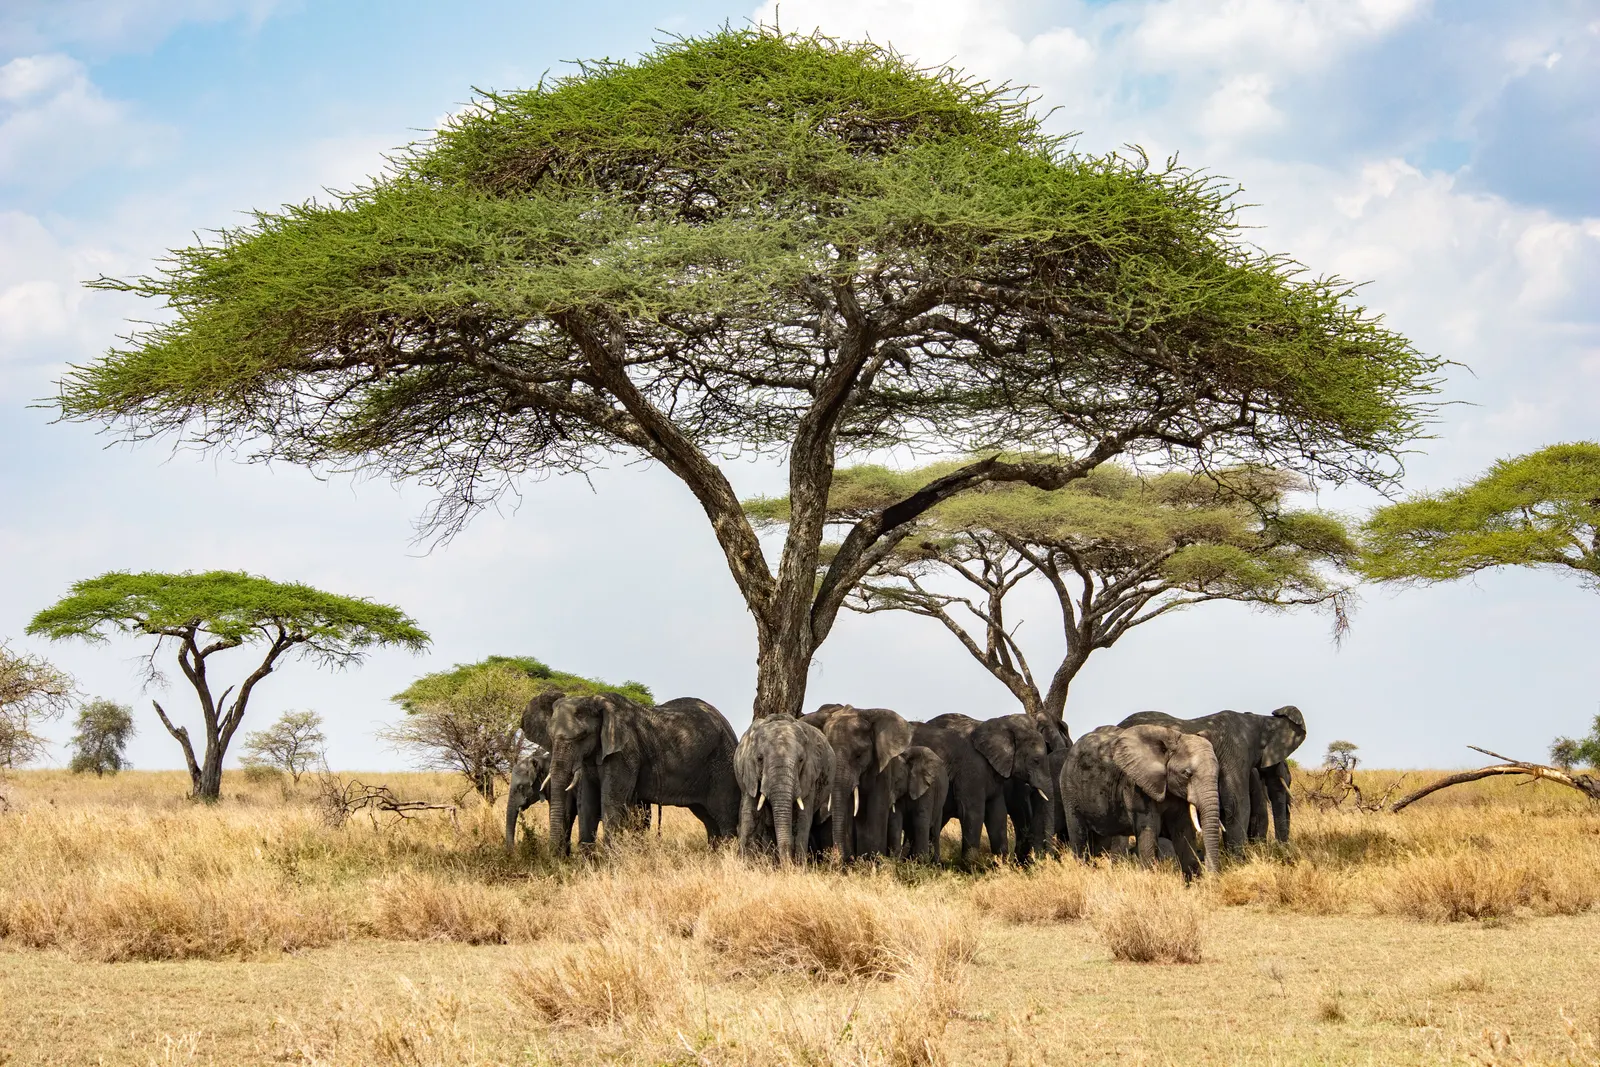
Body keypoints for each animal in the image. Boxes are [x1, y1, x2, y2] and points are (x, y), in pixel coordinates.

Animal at [545, 692, 740, 854]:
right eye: (550, 736)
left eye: (582, 736)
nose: (554, 856)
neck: (596, 700)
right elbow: (587, 803)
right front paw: (589, 865)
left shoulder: (625, 753)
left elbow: (611, 801)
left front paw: (610, 863)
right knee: (708, 819)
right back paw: (713, 856)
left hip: (723, 765)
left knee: (725, 817)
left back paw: (726, 857)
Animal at [734, 717, 834, 865]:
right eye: (759, 758)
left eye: (801, 760)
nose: (786, 864)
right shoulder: (749, 774)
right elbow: (751, 814)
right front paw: (744, 864)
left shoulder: (809, 777)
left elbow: (801, 819)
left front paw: (798, 868)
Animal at [800, 704, 913, 860]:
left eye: (859, 756)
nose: (839, 857)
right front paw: (852, 861)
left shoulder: (881, 768)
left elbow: (877, 807)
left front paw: (873, 860)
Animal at [926, 712, 1055, 863]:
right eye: (1036, 761)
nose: (1046, 858)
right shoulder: (972, 767)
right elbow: (972, 811)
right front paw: (971, 867)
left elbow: (998, 813)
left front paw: (1002, 865)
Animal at [1059, 723, 1222, 879]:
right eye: (1187, 774)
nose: (1212, 875)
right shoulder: (1136, 787)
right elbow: (1149, 830)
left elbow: (1183, 830)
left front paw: (1195, 883)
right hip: (1068, 789)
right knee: (1079, 834)